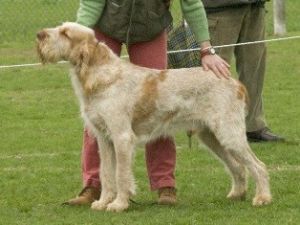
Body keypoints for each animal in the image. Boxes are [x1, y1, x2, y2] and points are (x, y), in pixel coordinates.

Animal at [36, 22, 270, 213]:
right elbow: (106, 173)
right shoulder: (104, 139)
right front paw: (103, 202)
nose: (39, 34)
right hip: (211, 137)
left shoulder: (122, 137)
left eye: (65, 33)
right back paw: (237, 194)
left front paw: (119, 204)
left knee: (259, 166)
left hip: (229, 134)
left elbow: (121, 174)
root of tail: (235, 82)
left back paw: (262, 198)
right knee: (238, 167)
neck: (103, 75)